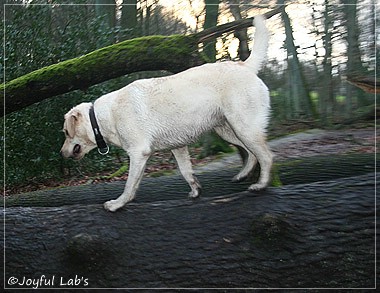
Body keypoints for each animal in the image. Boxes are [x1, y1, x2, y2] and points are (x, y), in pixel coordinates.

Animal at [60, 14, 272, 211]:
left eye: (66, 132)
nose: (61, 153)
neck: (103, 117)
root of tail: (244, 65)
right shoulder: (178, 147)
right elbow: (186, 172)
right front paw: (195, 190)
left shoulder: (138, 153)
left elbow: (130, 185)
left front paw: (117, 204)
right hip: (229, 131)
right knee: (252, 154)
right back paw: (242, 175)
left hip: (243, 127)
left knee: (266, 156)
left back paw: (260, 185)